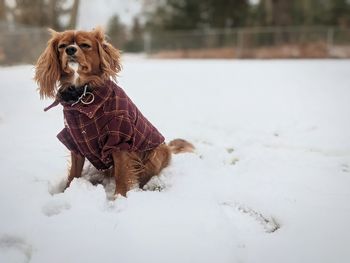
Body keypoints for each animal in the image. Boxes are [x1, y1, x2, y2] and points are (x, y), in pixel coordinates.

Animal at [34, 27, 194, 197]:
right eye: (62, 46)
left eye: (85, 45)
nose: (70, 49)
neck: (83, 95)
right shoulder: (75, 141)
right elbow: (73, 174)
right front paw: (67, 191)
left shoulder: (119, 139)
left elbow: (122, 175)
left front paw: (119, 198)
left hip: (155, 153)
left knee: (145, 175)